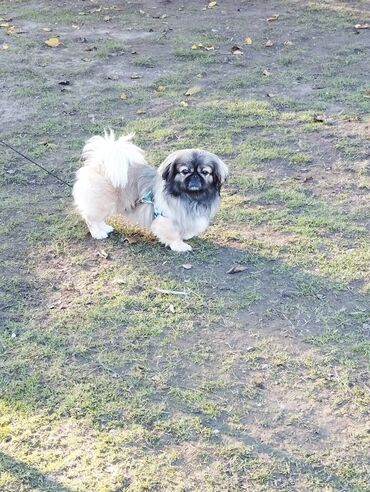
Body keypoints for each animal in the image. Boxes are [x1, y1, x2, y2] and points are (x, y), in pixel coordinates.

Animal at [72, 131, 227, 252]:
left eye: (205, 172)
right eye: (185, 171)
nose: (195, 177)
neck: (191, 197)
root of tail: (99, 164)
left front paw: (186, 235)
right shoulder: (165, 218)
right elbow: (172, 235)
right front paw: (180, 246)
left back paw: (104, 228)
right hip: (103, 203)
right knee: (91, 219)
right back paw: (98, 233)